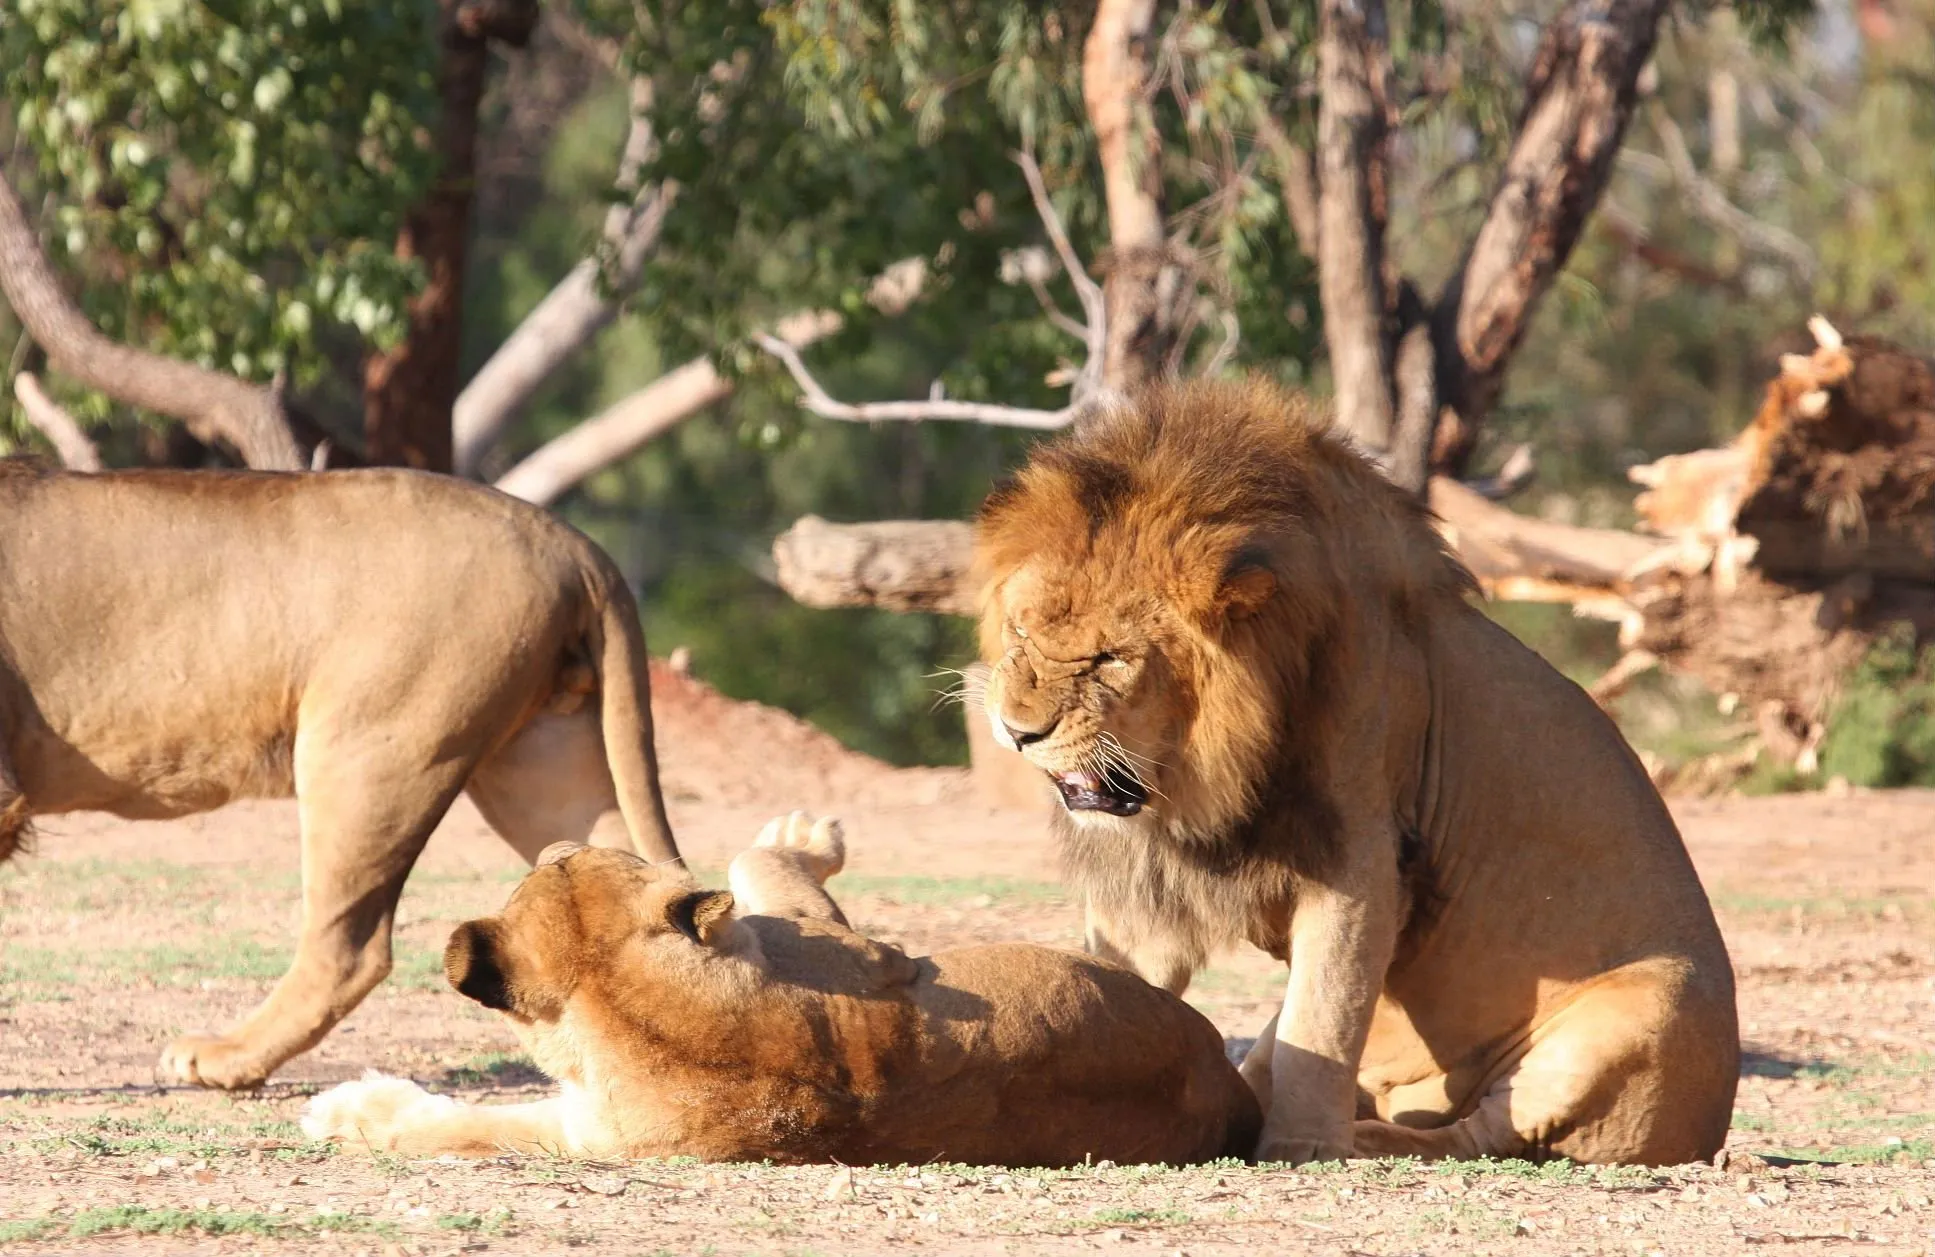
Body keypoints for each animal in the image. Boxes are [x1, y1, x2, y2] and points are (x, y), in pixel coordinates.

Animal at [975, 379, 1749, 1168]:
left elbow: (1321, 1016)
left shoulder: (1364, 862)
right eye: (1019, 630)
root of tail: (1710, 1124)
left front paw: (1299, 1145)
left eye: (1110, 658)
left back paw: (1366, 1138)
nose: (1016, 731)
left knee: (1486, 1135)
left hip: (1650, 1009)